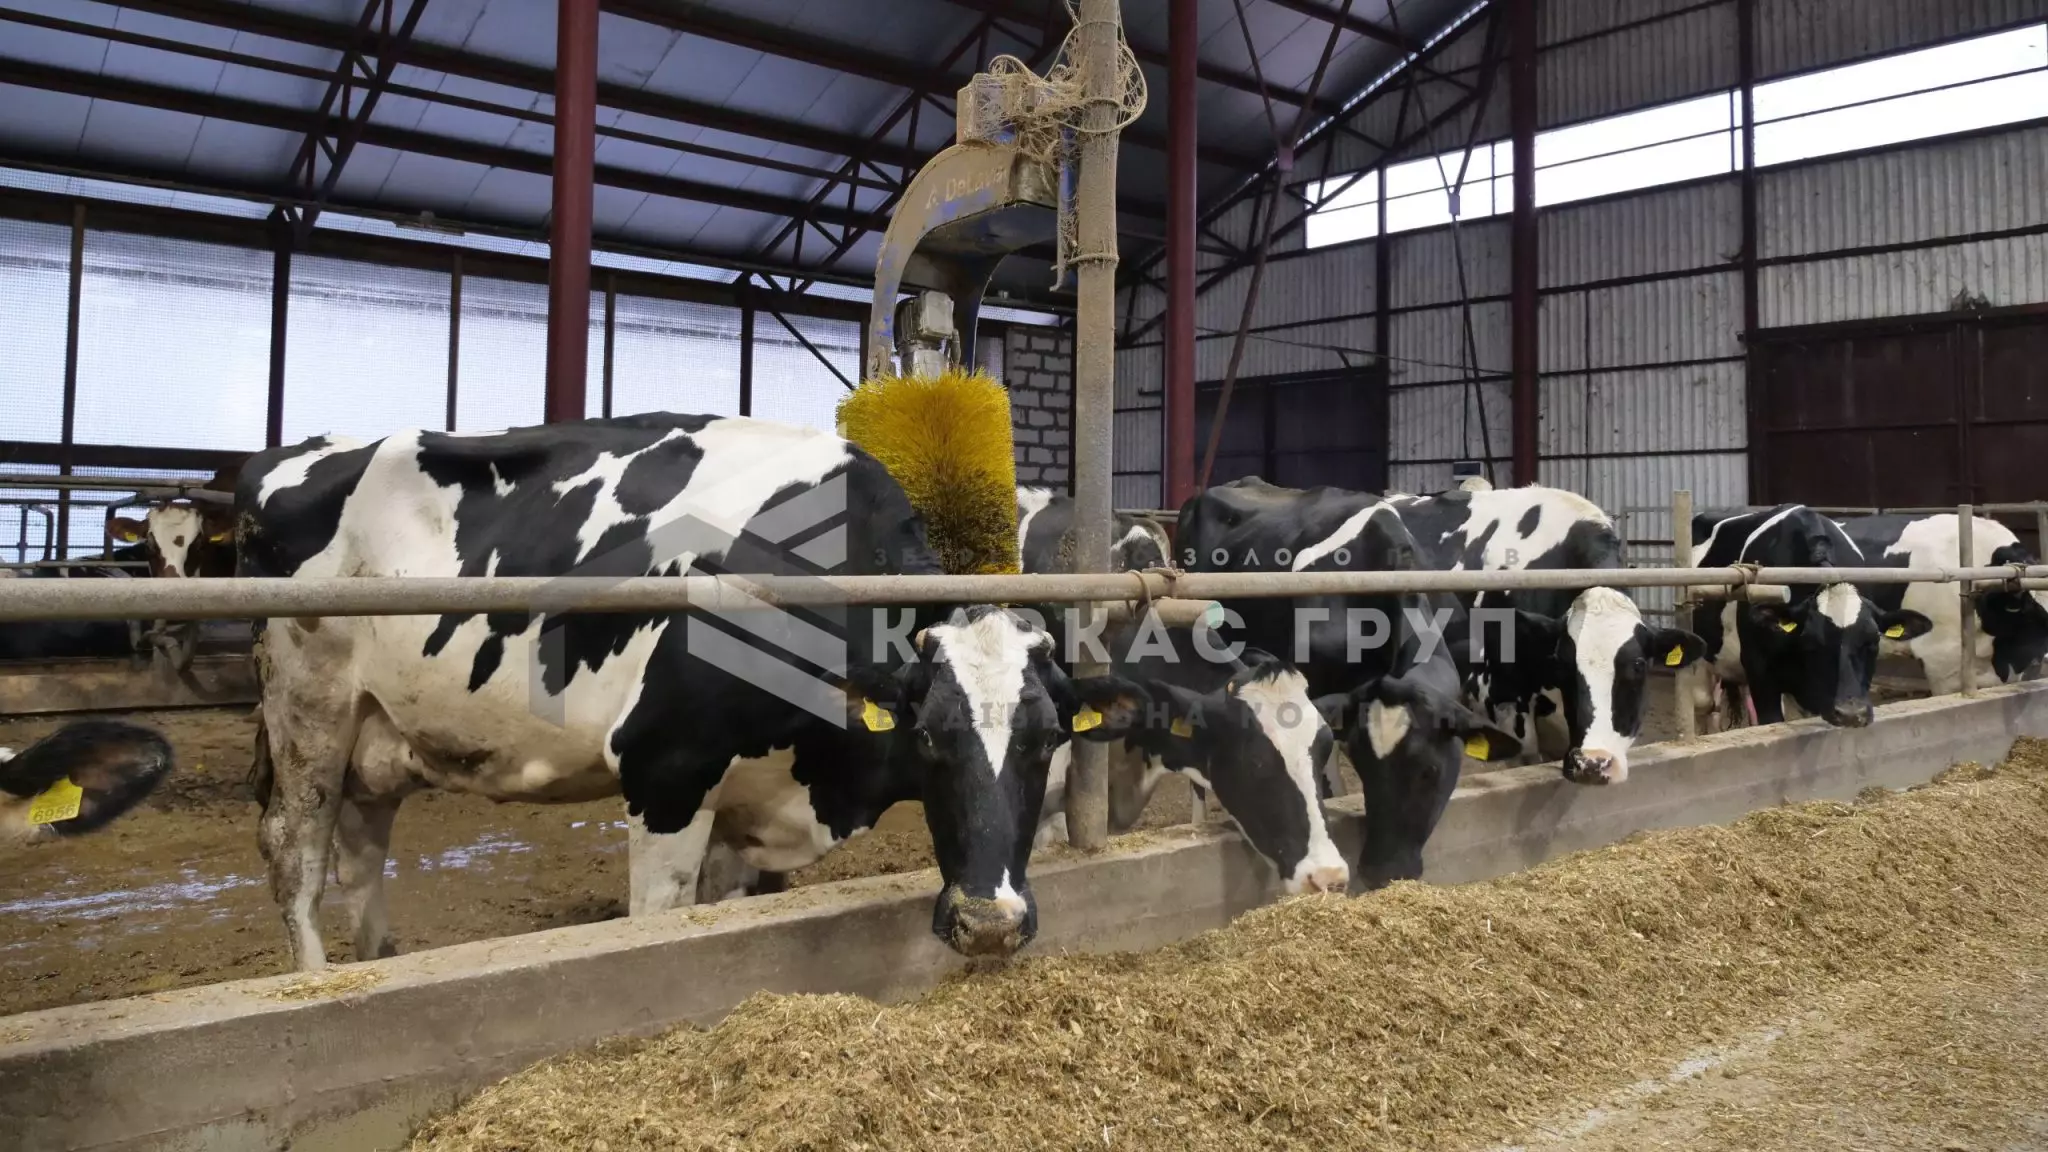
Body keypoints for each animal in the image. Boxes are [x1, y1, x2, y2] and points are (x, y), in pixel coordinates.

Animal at [238, 417, 1142, 969]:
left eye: (1048, 739)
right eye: (926, 738)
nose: (991, 926)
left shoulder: (747, 805)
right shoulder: (665, 772)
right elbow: (658, 919)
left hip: (378, 726)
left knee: (361, 849)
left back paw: (380, 961)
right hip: (308, 704)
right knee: (295, 851)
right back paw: (315, 978)